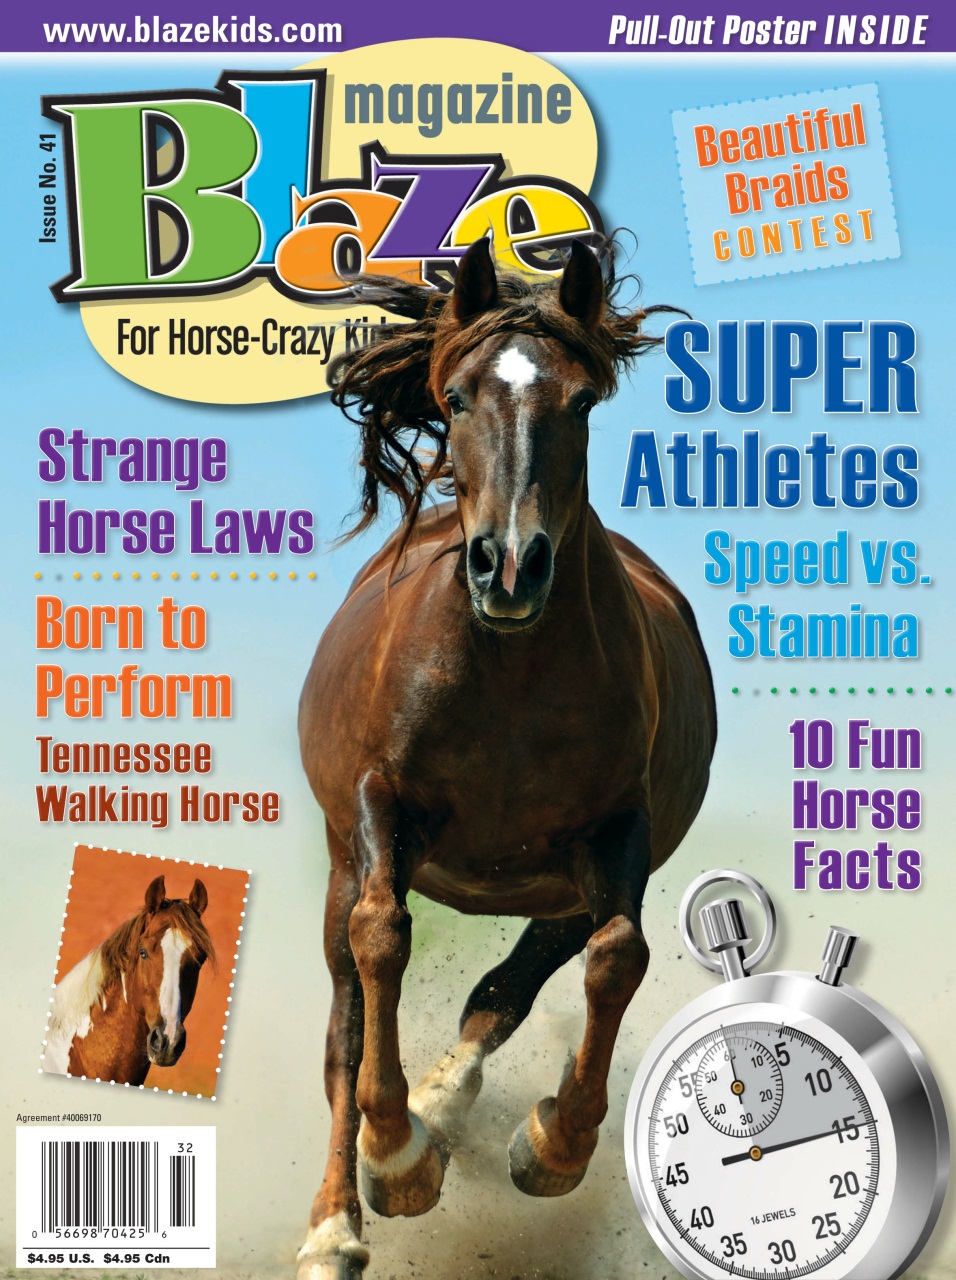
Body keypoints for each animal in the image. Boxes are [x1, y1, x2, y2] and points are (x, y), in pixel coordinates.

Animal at [296, 238, 716, 1279]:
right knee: (344, 1026)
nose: (512, 566)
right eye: (454, 399)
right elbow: (381, 939)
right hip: (341, 860)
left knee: (510, 989)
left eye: (583, 402)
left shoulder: (618, 833)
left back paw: (445, 1103)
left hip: (558, 889)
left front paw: (553, 1146)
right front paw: (395, 1156)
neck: (509, 677)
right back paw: (337, 1219)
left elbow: (618, 957)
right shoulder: (378, 805)